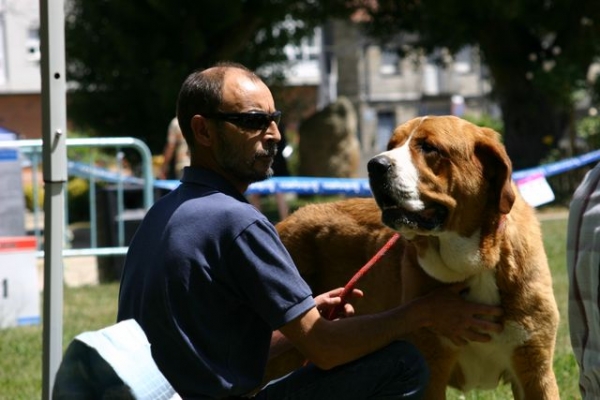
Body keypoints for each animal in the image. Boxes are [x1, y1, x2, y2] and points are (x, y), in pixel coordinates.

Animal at [264, 114, 560, 398]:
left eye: (429, 148)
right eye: (391, 145)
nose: (375, 165)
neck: (475, 264)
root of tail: (283, 222)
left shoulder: (535, 370)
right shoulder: (431, 367)